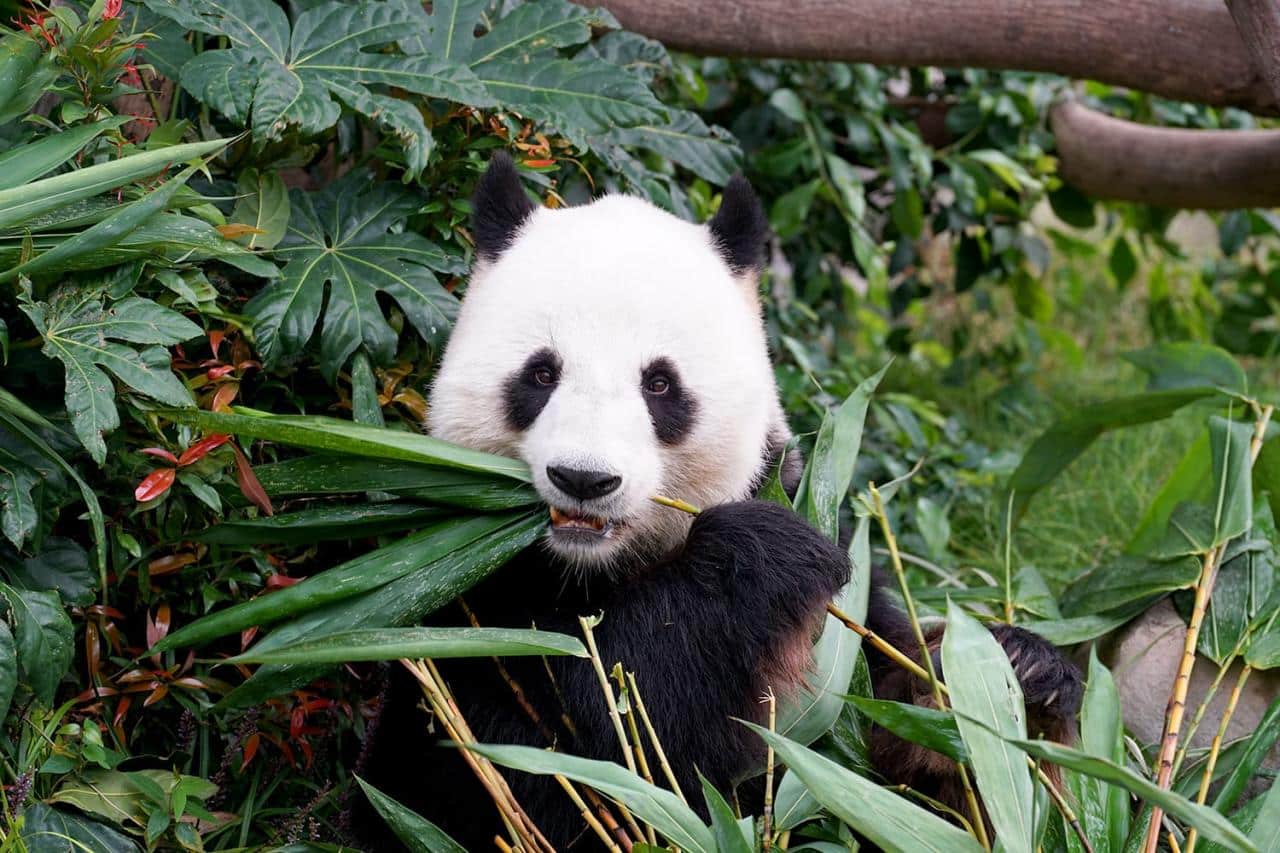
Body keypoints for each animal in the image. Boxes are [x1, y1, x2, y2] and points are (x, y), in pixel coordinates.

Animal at [358, 154, 1080, 850]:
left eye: (659, 384)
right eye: (540, 373)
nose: (584, 479)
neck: (598, 563)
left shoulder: (829, 571)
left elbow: (890, 747)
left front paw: (1014, 679)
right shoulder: (469, 596)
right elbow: (594, 745)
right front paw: (766, 553)